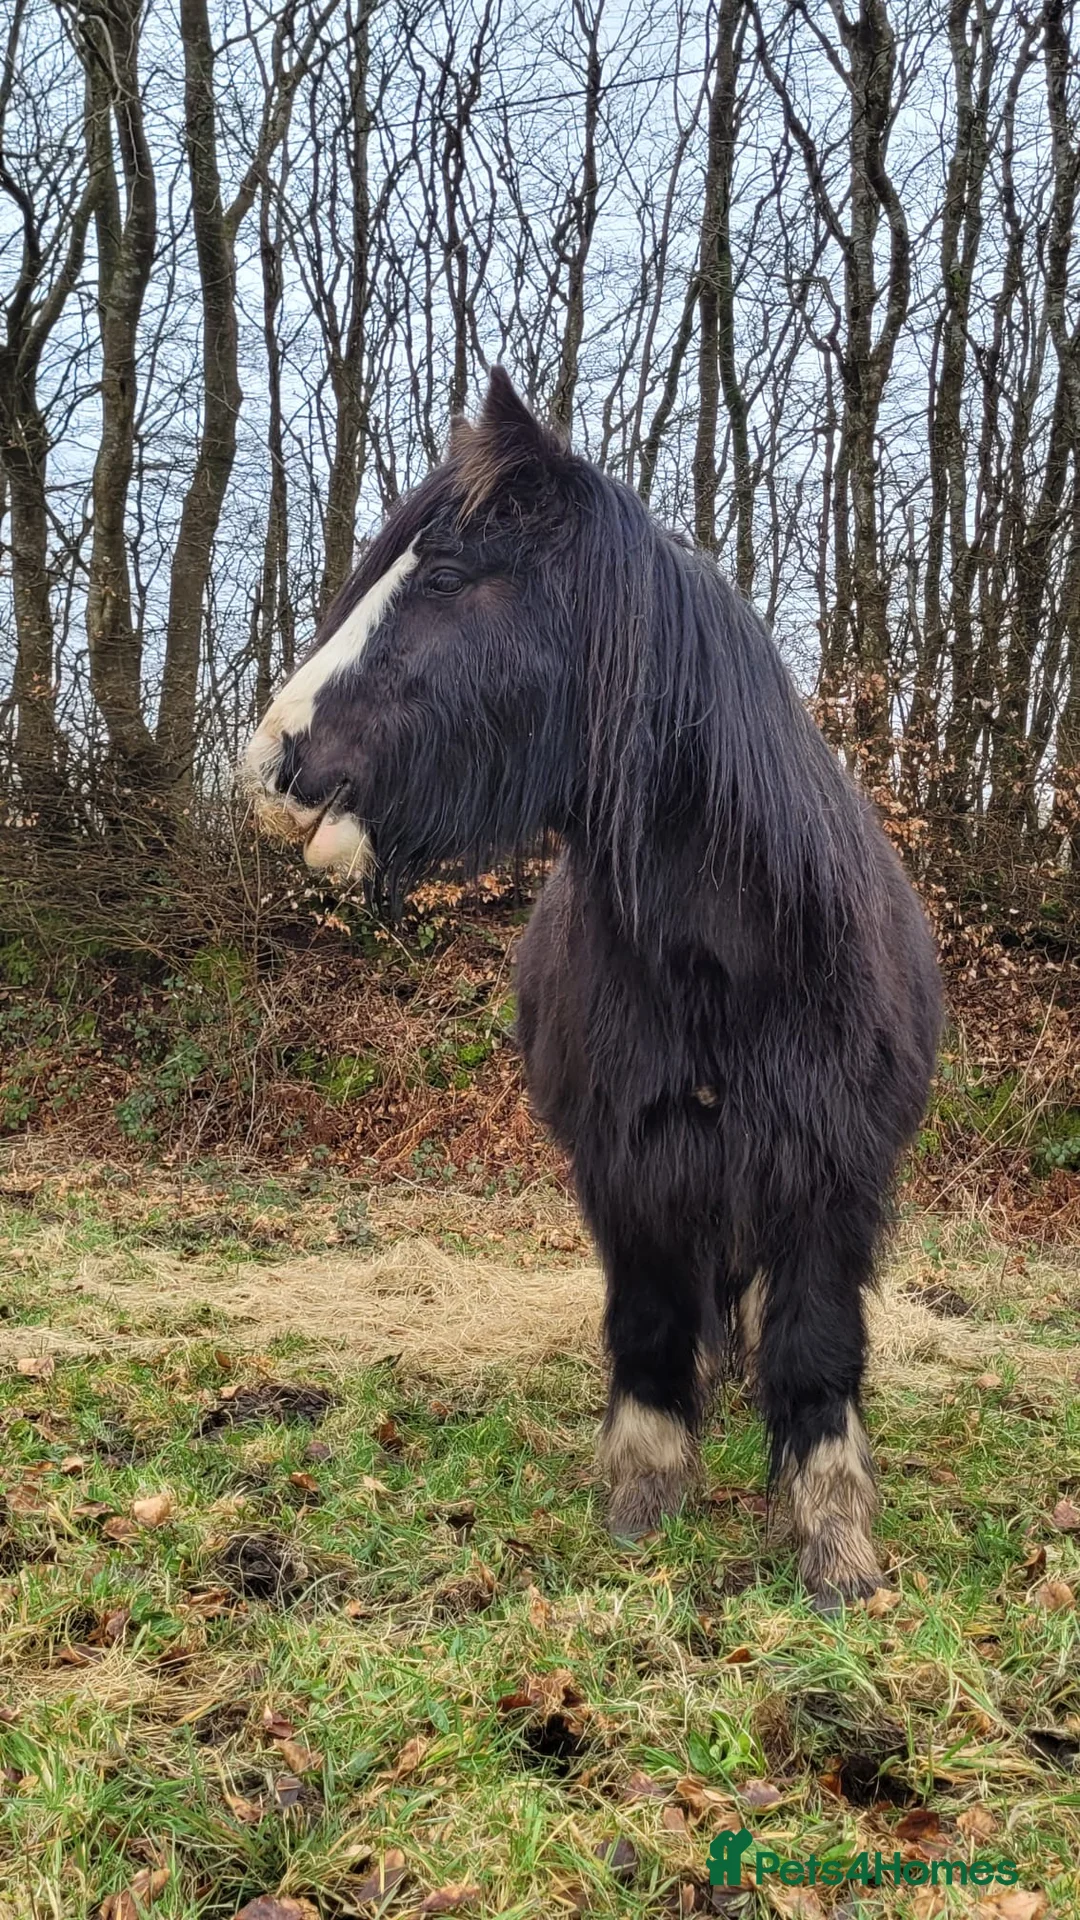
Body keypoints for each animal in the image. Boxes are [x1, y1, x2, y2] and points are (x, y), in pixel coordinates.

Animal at [240, 369, 942, 1611]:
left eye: (448, 577)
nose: (270, 763)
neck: (729, 962)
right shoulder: (631, 1167)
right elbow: (652, 1331)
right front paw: (642, 1506)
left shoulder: (831, 1177)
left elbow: (816, 1351)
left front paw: (834, 1546)